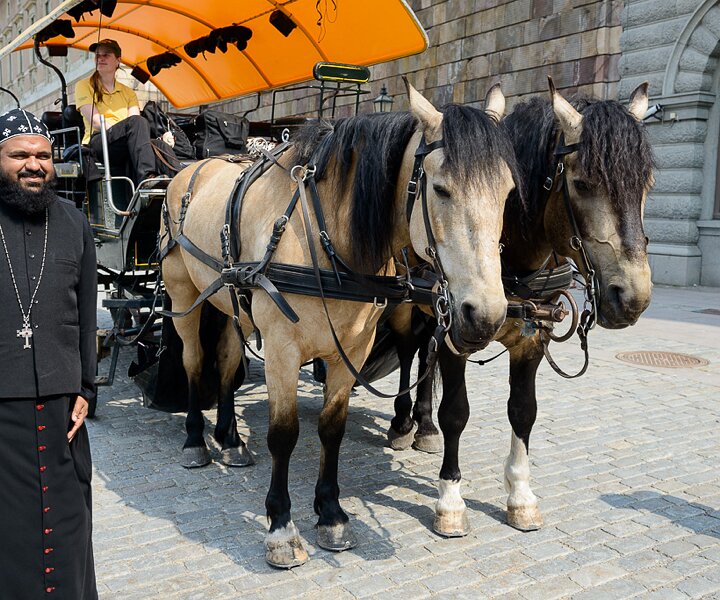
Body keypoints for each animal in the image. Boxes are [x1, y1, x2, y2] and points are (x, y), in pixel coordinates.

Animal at [160, 81, 519, 568]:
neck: (325, 237)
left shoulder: (352, 349)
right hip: (184, 296)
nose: (485, 314)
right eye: (441, 190)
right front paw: (281, 527)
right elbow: (284, 434)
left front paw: (330, 513)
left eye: (507, 192)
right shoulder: (281, 349)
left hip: (230, 301)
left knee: (228, 361)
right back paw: (196, 441)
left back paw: (230, 441)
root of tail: (190, 170)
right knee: (196, 363)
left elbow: (333, 428)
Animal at [385, 79, 655, 535]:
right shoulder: (458, 332)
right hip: (410, 307)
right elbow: (456, 412)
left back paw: (424, 425)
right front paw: (450, 499)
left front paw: (521, 495)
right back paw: (405, 422)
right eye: (582, 183)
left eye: (646, 183)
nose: (632, 297)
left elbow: (523, 411)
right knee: (409, 352)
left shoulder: (532, 338)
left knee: (424, 356)